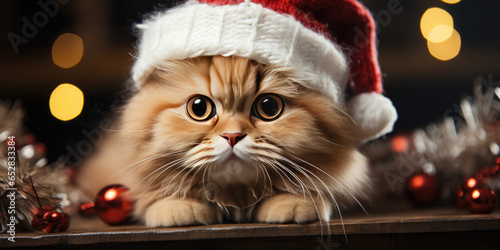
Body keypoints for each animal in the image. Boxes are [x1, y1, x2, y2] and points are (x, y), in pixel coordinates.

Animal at [76, 56, 370, 227]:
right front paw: (177, 207)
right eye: (198, 108)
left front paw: (293, 203)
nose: (232, 136)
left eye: (269, 106)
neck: (236, 196)